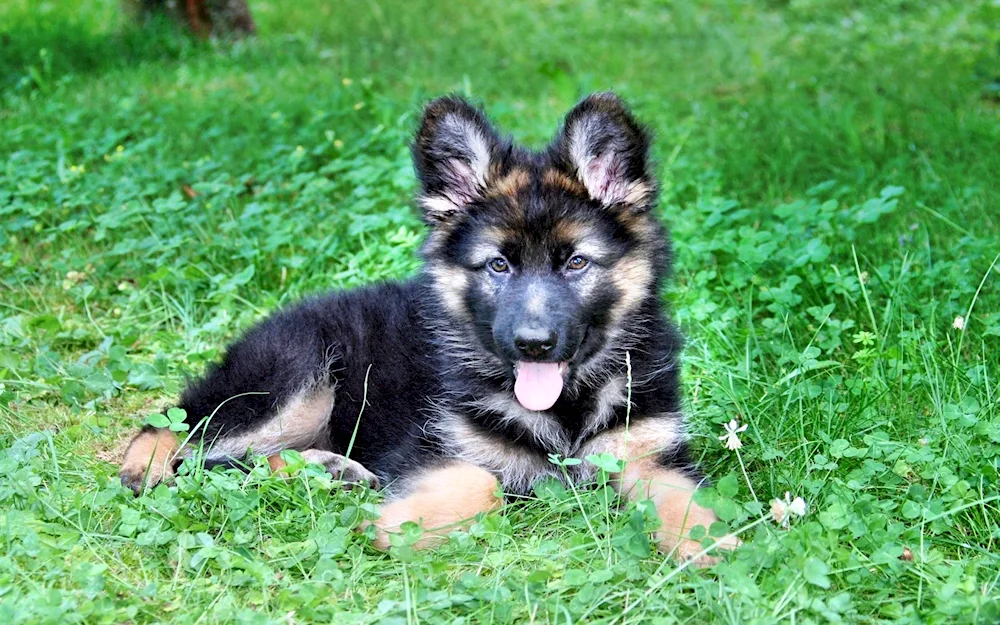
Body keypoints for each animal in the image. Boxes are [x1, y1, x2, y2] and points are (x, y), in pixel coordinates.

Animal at [121, 94, 740, 564]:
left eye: (576, 263)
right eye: (498, 265)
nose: (533, 344)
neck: (567, 409)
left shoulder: (651, 456)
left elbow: (684, 501)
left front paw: (715, 546)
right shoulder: (428, 449)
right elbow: (483, 483)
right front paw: (393, 526)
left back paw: (328, 470)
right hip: (297, 378)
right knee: (182, 435)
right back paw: (148, 466)